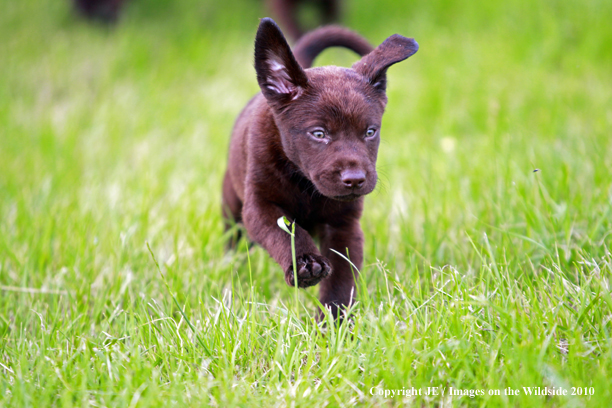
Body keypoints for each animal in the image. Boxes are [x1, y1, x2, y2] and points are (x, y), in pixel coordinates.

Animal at [222, 18, 418, 318]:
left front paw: (334, 322)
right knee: (233, 238)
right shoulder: (258, 206)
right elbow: (286, 232)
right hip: (232, 205)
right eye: (318, 134)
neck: (305, 184)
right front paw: (305, 262)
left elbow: (342, 279)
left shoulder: (343, 224)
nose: (355, 179)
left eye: (370, 132)